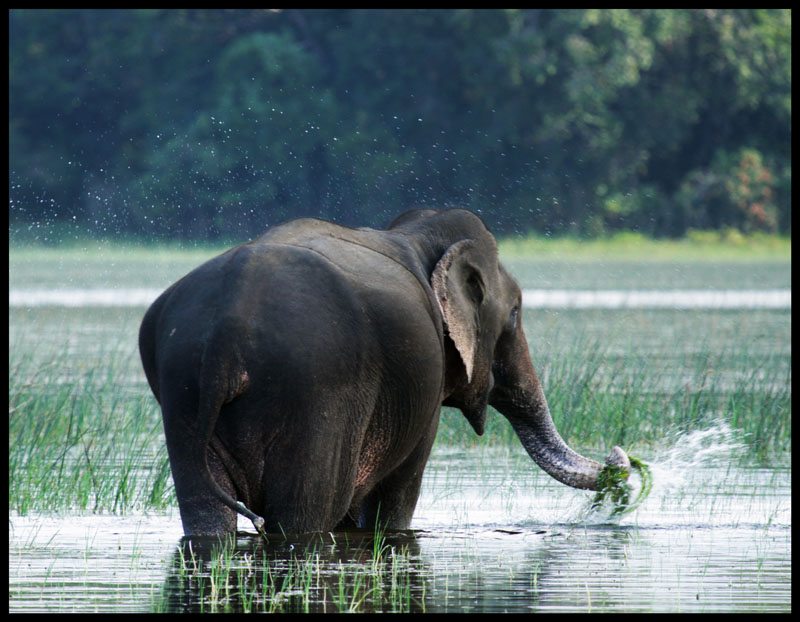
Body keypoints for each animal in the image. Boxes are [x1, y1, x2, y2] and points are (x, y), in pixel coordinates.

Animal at [139, 208, 632, 536]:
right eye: (514, 314)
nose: (617, 457)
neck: (415, 235)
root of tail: (227, 333)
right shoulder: (425, 386)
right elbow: (396, 497)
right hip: (317, 395)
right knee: (302, 516)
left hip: (183, 391)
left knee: (206, 513)